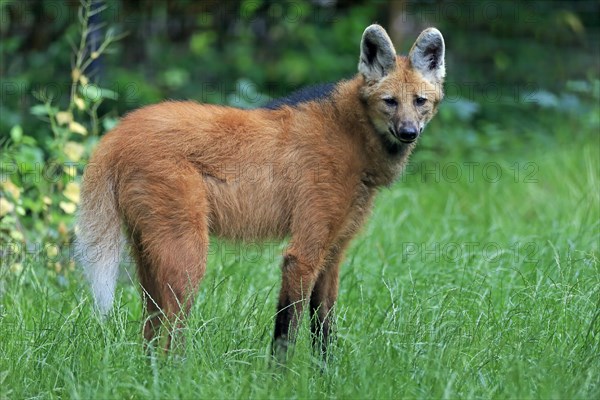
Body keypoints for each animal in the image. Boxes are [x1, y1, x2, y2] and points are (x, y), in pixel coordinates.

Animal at [76, 24, 446, 356]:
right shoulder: (304, 253)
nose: (409, 132)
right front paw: (279, 380)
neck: (352, 135)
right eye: (390, 102)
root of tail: (118, 132)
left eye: (420, 101)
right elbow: (287, 329)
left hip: (148, 250)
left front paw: (326, 378)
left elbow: (323, 328)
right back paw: (175, 375)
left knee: (151, 328)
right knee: (173, 327)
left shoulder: (333, 252)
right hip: (188, 253)